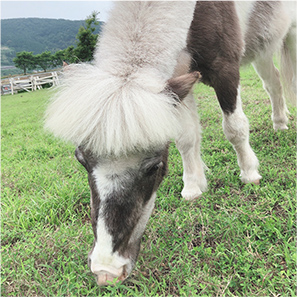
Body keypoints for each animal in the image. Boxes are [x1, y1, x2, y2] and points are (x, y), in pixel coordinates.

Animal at [45, 1, 294, 286]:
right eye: (82, 160)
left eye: (154, 167)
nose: (106, 270)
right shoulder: (179, 81)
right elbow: (186, 138)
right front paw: (193, 188)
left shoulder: (225, 69)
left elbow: (235, 127)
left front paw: (250, 173)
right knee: (273, 82)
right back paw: (280, 122)